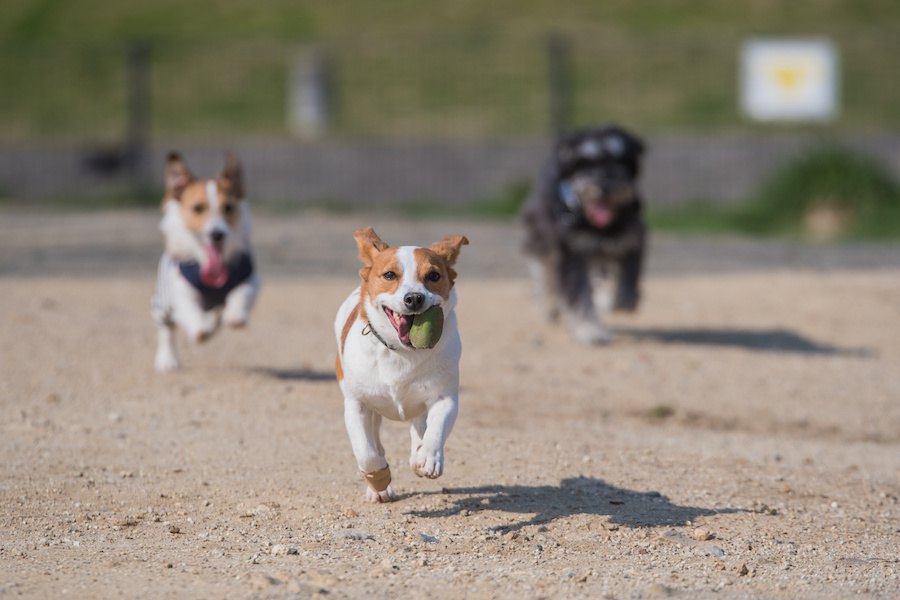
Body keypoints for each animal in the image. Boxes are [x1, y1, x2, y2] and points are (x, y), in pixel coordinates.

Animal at [150, 152, 260, 370]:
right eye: (198, 208)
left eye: (228, 207)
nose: (217, 234)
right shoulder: (180, 290)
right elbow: (189, 309)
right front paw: (200, 328)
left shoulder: (250, 278)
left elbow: (241, 293)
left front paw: (236, 315)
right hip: (162, 303)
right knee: (166, 329)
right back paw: (167, 358)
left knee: (215, 313)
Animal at [332, 229, 472, 502]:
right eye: (389, 275)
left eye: (433, 276)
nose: (414, 297)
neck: (402, 352)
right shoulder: (357, 405)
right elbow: (367, 452)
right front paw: (379, 479)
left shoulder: (445, 397)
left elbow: (436, 427)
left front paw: (428, 457)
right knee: (376, 441)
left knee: (419, 423)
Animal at [520, 124, 648, 344]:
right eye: (585, 163)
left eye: (619, 159)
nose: (604, 186)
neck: (599, 225)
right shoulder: (572, 251)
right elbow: (578, 292)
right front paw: (590, 331)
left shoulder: (632, 237)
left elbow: (629, 270)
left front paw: (623, 299)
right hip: (540, 238)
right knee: (544, 274)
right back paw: (550, 306)